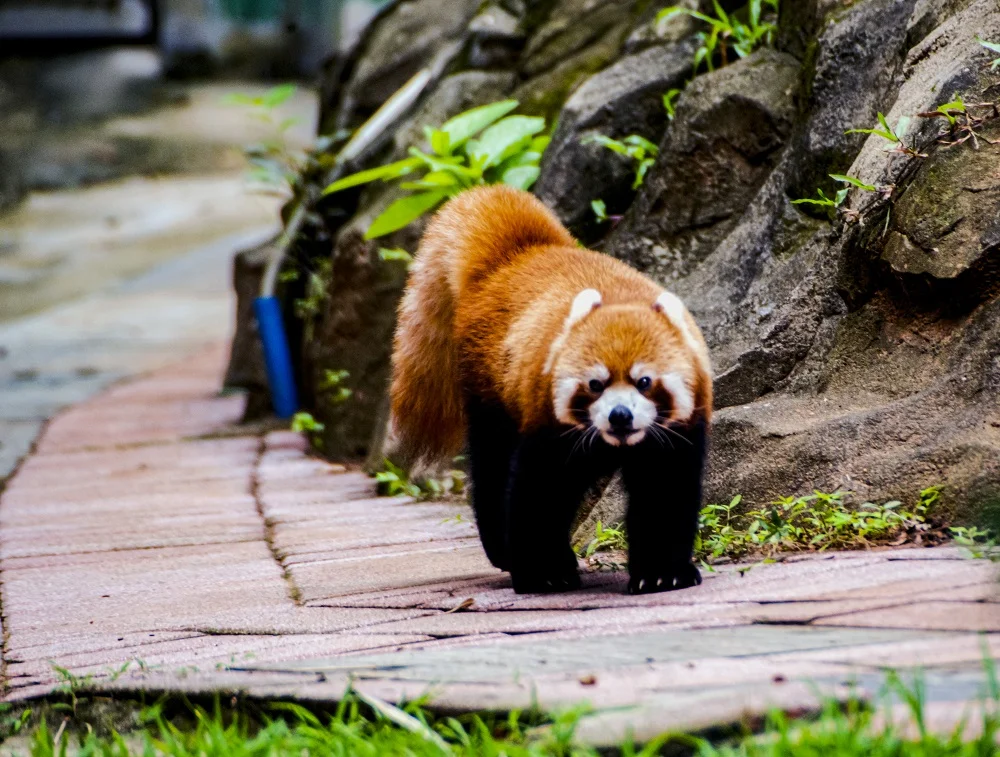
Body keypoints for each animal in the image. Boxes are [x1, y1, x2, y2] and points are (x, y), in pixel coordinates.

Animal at [388, 186, 712, 592]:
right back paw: (507, 551)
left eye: (644, 382)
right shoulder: (546, 423)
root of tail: (516, 257)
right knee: (493, 468)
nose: (619, 416)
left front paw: (663, 572)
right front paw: (542, 572)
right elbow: (538, 493)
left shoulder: (678, 433)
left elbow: (665, 495)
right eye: (595, 384)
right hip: (489, 388)